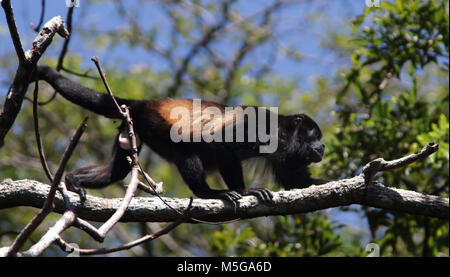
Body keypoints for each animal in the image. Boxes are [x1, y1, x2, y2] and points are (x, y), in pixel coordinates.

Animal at [33, 65, 326, 202]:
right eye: (315, 134)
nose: (323, 147)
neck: (285, 134)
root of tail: (143, 104)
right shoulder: (262, 127)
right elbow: (223, 145)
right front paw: (246, 191)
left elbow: (296, 181)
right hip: (156, 124)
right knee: (187, 150)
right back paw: (210, 194)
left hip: (133, 129)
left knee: (115, 171)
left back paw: (74, 181)